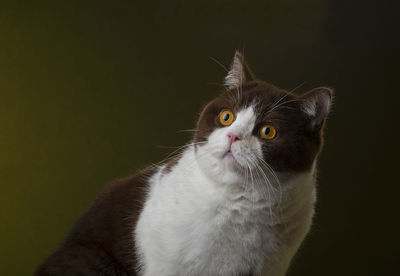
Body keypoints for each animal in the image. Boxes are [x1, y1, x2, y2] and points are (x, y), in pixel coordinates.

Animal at [36, 52, 332, 276]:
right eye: (226, 117)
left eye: (268, 131)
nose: (233, 136)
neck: (240, 200)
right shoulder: (165, 265)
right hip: (89, 258)